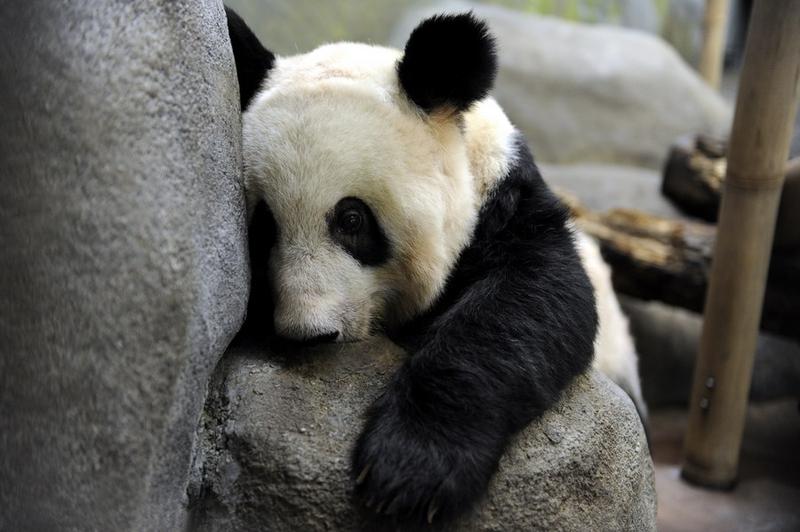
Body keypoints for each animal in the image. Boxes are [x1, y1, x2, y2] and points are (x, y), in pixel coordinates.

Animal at [226, 7, 646, 528]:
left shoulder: (506, 205)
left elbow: (532, 302)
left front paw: (410, 470)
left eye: (352, 220)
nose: (309, 332)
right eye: (265, 228)